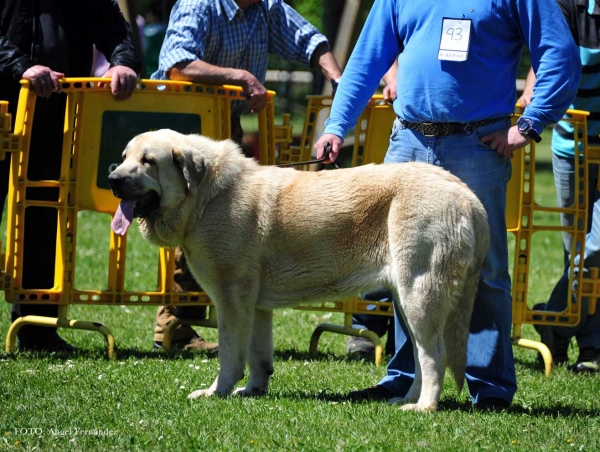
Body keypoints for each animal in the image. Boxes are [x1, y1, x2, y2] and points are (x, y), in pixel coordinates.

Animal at [109, 129, 488, 412]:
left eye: (148, 161)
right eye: (125, 156)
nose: (112, 178)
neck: (206, 197)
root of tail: (467, 195)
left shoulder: (231, 301)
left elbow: (230, 354)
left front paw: (217, 392)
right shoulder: (256, 307)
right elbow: (259, 355)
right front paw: (253, 390)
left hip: (420, 296)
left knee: (434, 354)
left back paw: (424, 407)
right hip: (408, 302)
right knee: (422, 355)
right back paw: (406, 399)